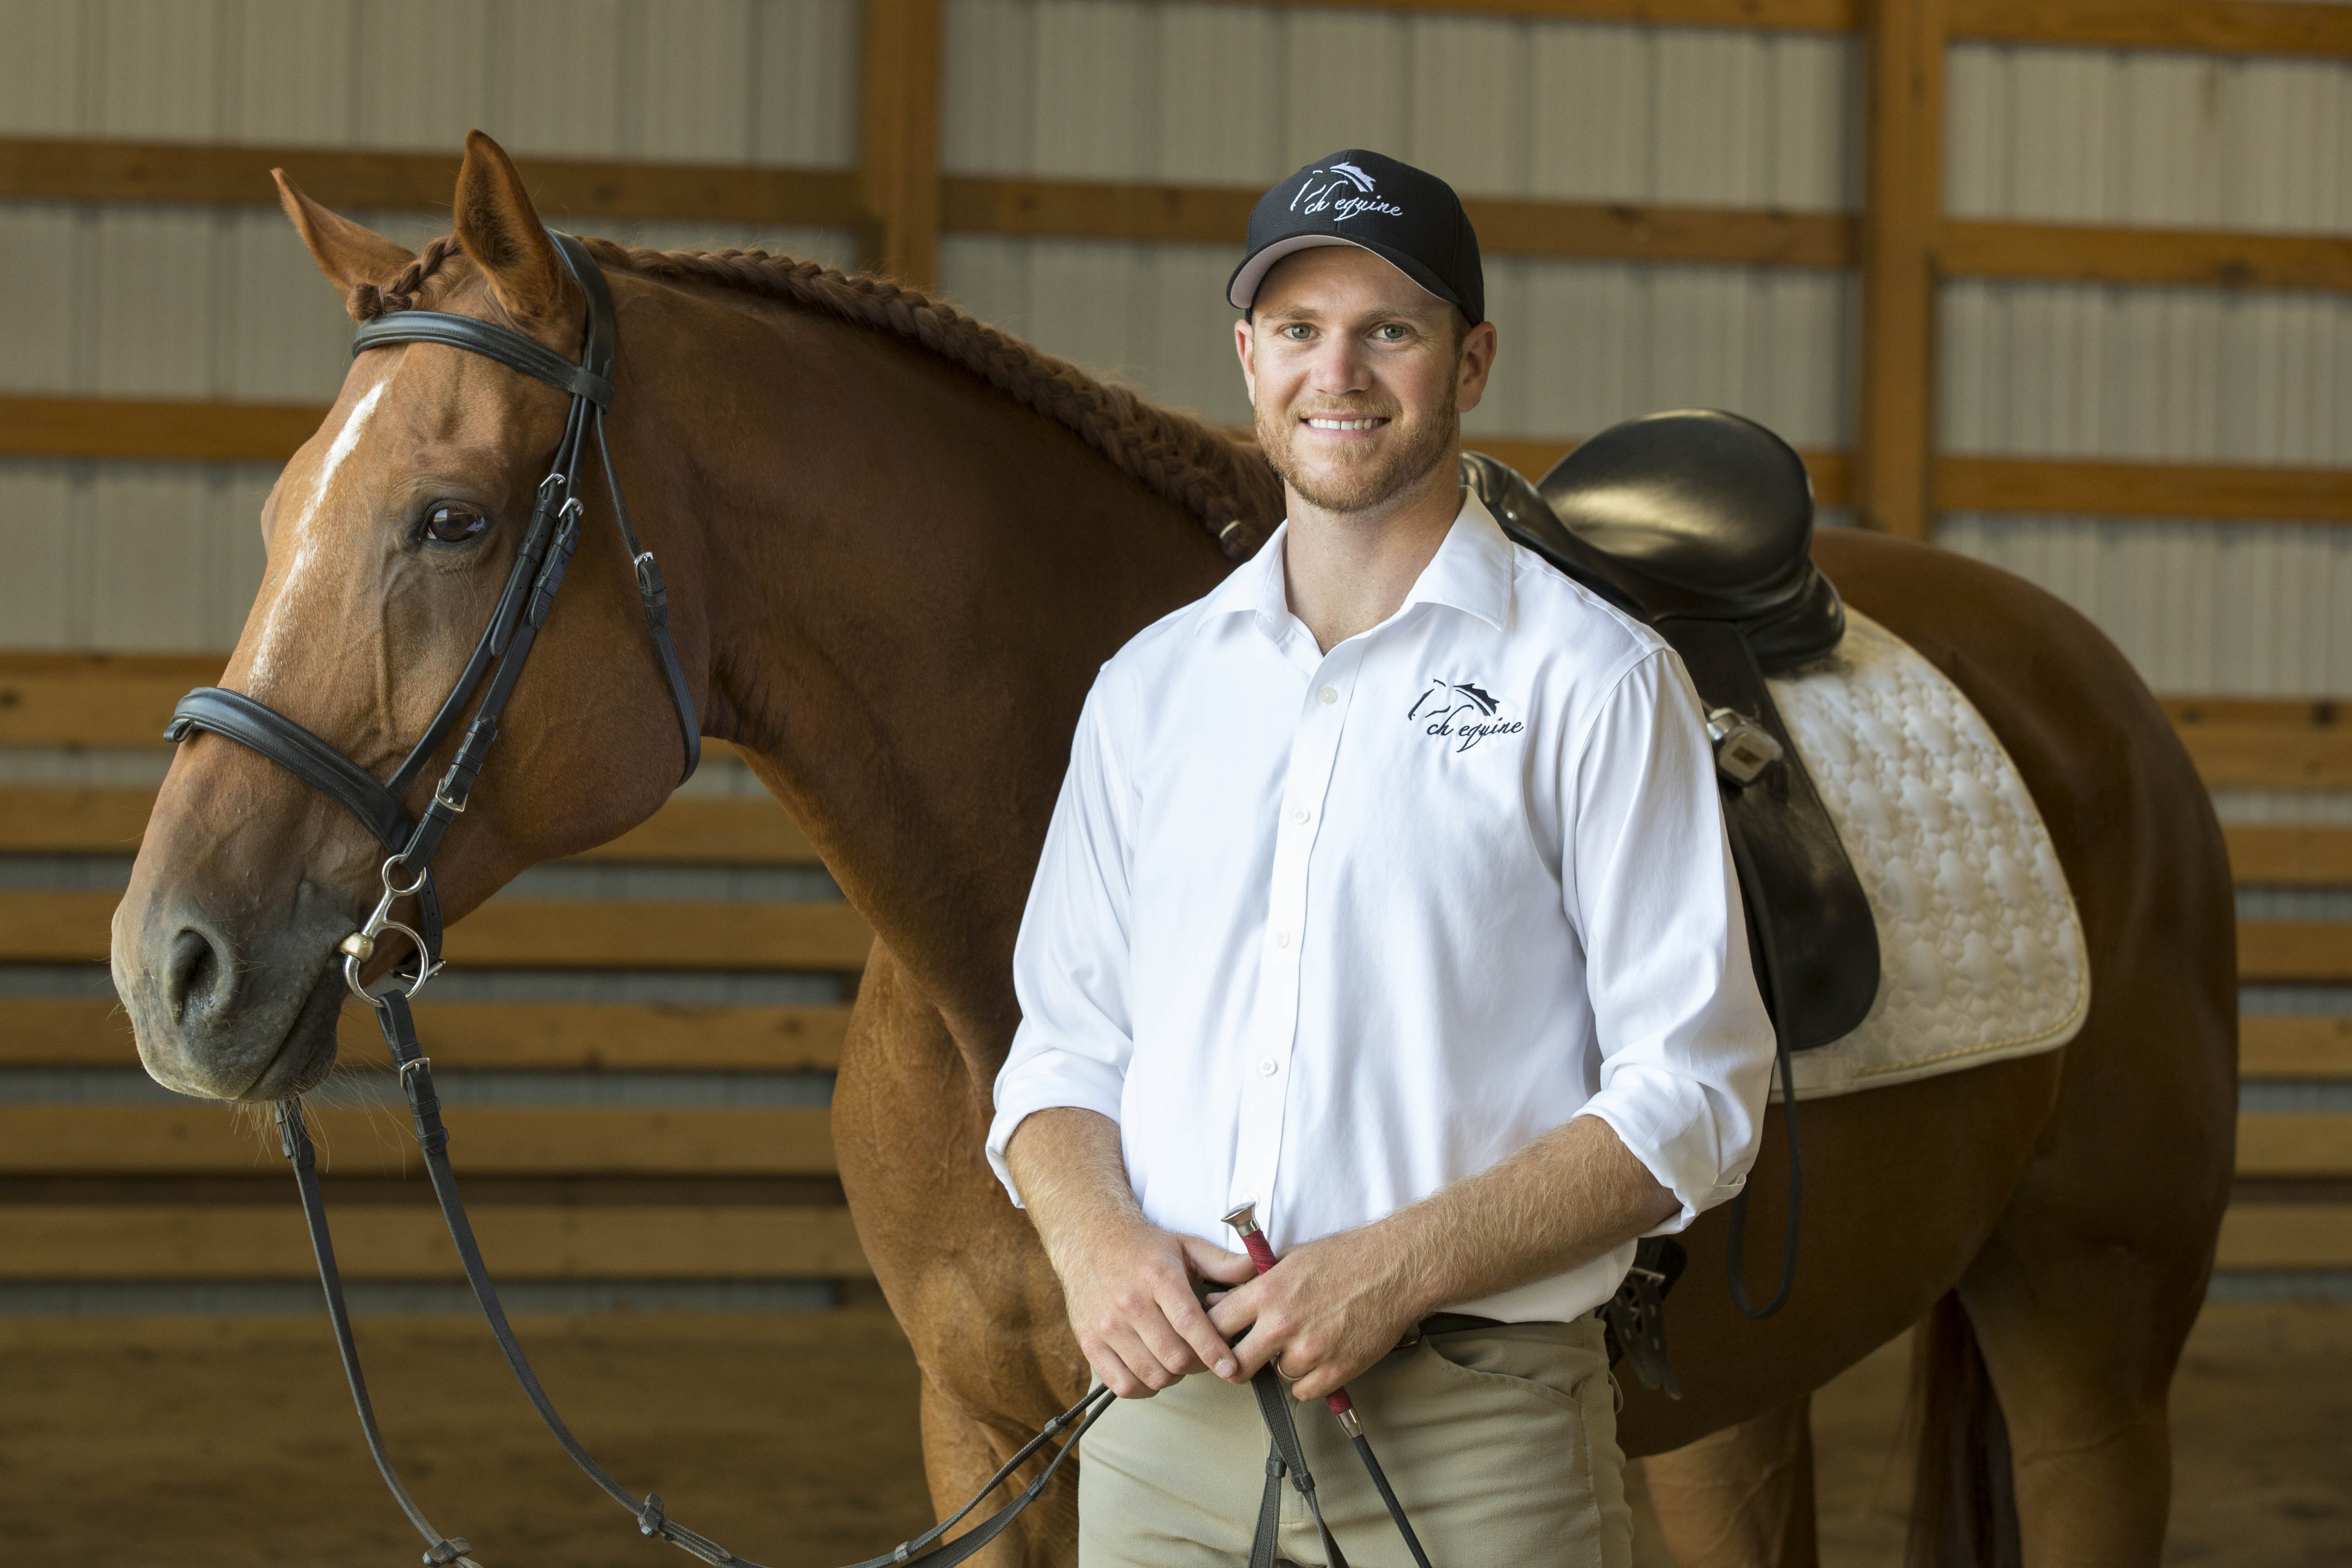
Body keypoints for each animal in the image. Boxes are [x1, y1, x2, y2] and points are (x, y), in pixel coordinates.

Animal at [114, 132, 2239, 1561]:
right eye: (280, 511)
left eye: (452, 518)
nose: (168, 963)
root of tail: (2099, 698)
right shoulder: (984, 1431)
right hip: (1743, 1403)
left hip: (2087, 1343)